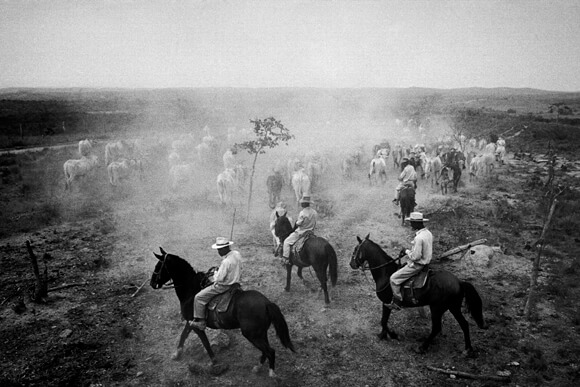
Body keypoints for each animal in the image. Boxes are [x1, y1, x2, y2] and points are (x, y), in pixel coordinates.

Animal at [150, 249, 294, 378]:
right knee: (266, 350)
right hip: (260, 333)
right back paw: (257, 368)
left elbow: (205, 343)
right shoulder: (191, 322)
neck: (191, 291)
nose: (152, 283)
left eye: (158, 266)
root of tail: (266, 303)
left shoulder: (197, 326)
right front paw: (177, 354)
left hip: (252, 335)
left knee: (270, 351)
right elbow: (183, 335)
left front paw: (214, 362)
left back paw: (271, 373)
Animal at [352, 235, 488, 356]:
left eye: (355, 249)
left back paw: (422, 347)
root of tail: (459, 281)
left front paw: (392, 335)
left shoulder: (387, 303)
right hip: (453, 308)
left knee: (437, 327)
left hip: (437, 309)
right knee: (464, 324)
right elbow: (384, 321)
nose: (351, 264)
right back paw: (468, 349)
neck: (385, 273)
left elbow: (383, 321)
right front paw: (383, 335)